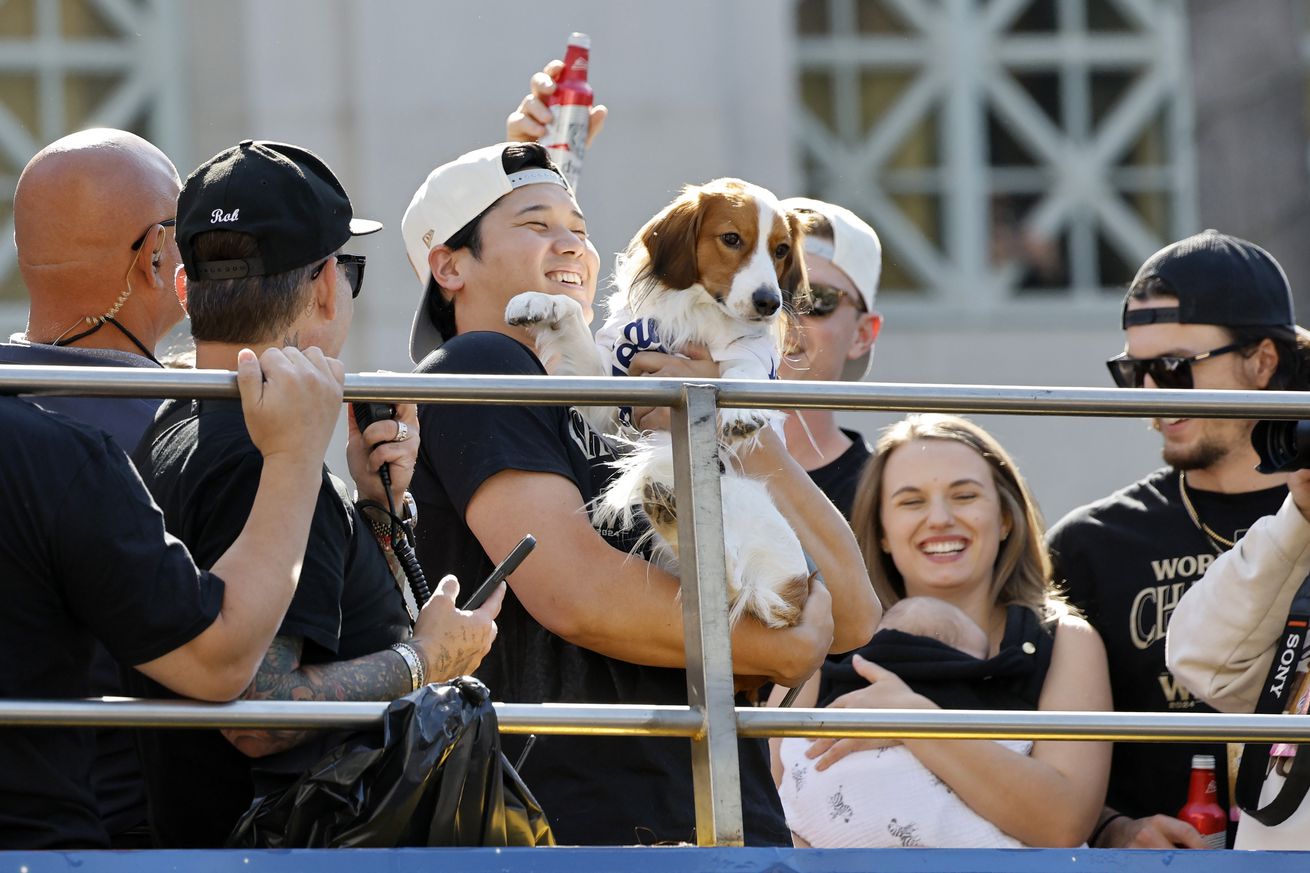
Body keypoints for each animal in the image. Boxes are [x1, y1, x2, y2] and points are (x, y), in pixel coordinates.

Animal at [505, 176, 812, 626]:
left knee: (726, 581)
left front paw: (742, 411)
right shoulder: (610, 398)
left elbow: (744, 371)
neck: (698, 311)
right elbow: (571, 316)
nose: (769, 303)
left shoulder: (749, 357)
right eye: (731, 238)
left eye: (781, 250)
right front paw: (538, 301)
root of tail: (791, 596)